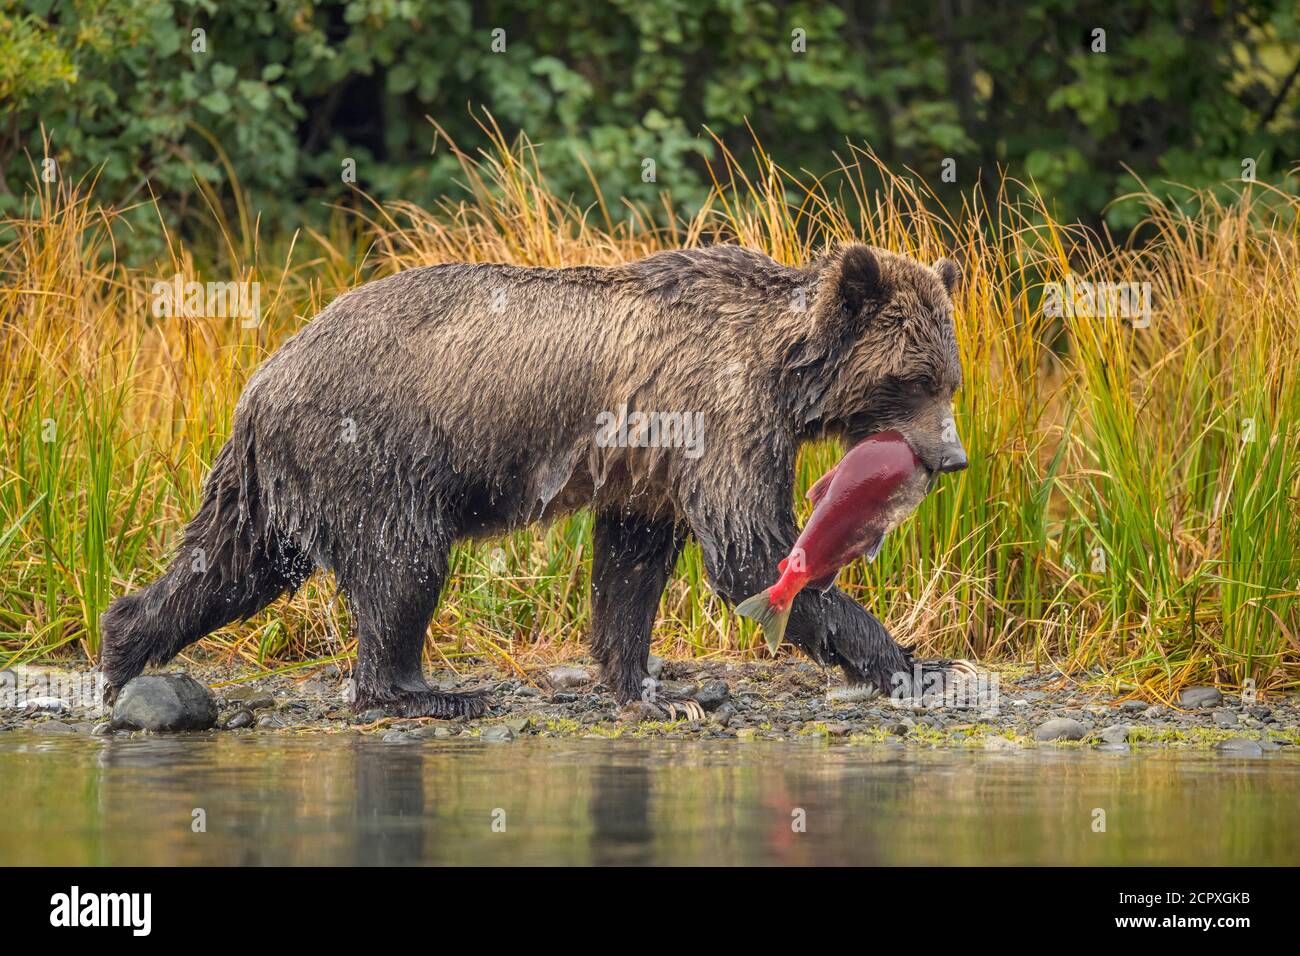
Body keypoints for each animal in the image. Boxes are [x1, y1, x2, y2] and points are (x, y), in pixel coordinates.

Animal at [101, 244, 967, 717]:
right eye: (918, 378)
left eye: (951, 378)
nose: (954, 458)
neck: (782, 369)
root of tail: (259, 380)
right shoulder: (717, 414)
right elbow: (748, 547)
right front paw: (913, 662)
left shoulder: (648, 463)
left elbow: (631, 567)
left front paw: (654, 686)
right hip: (372, 451)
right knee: (404, 564)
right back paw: (426, 689)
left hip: (276, 477)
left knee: (229, 563)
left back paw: (120, 649)